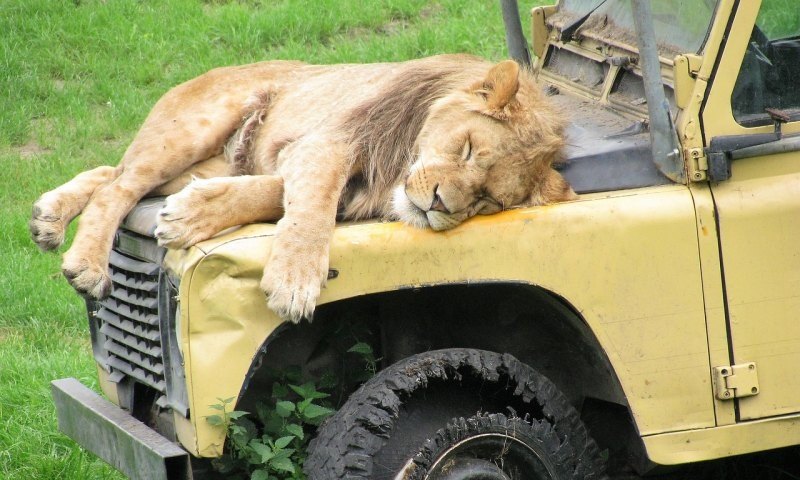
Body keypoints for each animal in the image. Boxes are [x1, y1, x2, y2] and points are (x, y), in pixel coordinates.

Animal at [26, 54, 576, 322]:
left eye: (487, 200)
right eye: (467, 148)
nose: (440, 204)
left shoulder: (316, 166)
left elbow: (272, 195)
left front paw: (189, 215)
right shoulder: (328, 143)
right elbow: (313, 207)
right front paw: (294, 284)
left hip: (210, 159)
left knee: (112, 173)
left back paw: (48, 215)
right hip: (193, 130)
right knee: (118, 187)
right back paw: (86, 264)